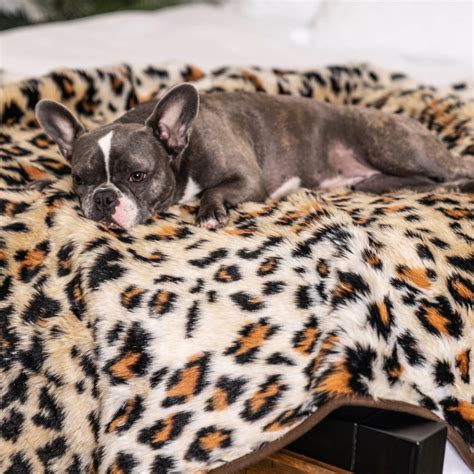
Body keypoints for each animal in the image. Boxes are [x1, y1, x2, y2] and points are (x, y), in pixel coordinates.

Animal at [35, 83, 474, 229]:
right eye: (79, 179)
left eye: (137, 176)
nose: (104, 198)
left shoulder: (248, 181)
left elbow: (214, 191)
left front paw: (210, 213)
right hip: (374, 183)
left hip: (393, 148)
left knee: (456, 167)